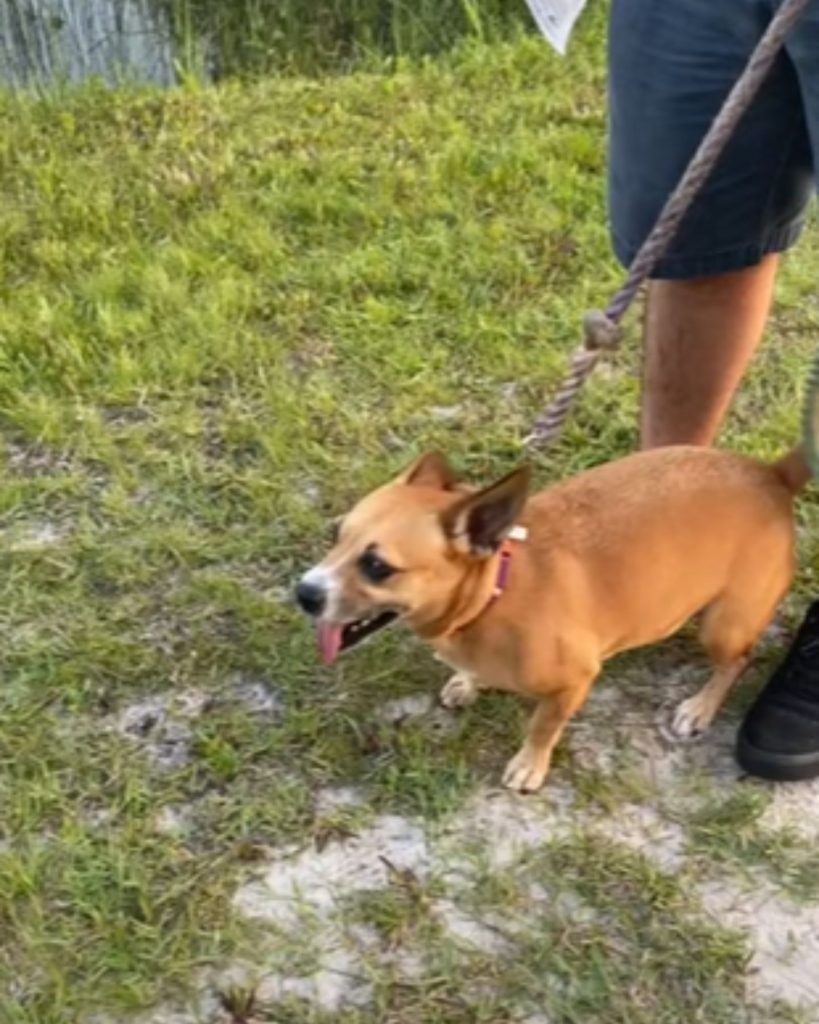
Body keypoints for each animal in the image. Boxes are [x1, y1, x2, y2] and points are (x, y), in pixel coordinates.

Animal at [294, 446, 806, 790]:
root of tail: (772, 474)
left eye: (377, 566)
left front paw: (529, 765)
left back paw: (700, 707)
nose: (303, 593)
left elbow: (542, 727)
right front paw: (466, 681)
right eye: (336, 536)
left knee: (735, 662)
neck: (493, 597)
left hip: (723, 628)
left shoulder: (573, 683)